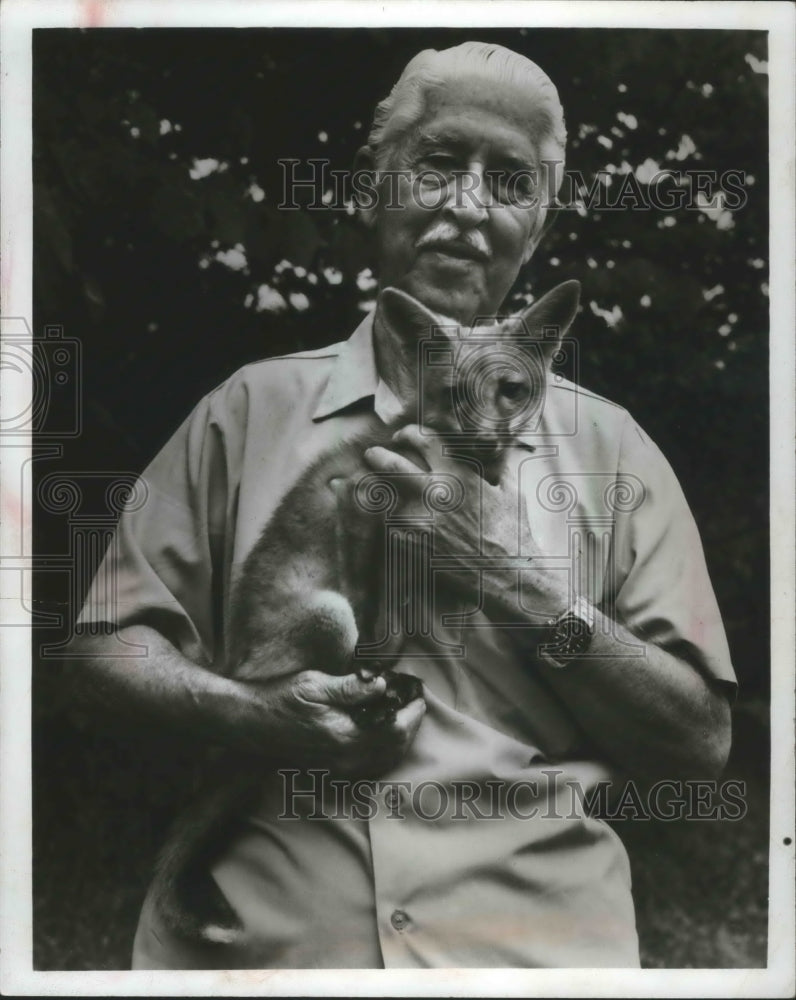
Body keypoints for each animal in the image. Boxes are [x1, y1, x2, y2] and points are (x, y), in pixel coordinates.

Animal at [152, 278, 580, 940]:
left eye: (509, 390)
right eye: (454, 394)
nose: (486, 441)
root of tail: (236, 663)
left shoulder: (409, 554)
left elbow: (399, 619)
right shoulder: (359, 505)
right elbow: (375, 620)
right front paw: (376, 671)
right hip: (327, 617)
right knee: (309, 672)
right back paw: (368, 696)